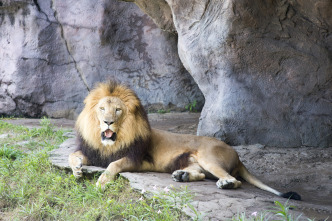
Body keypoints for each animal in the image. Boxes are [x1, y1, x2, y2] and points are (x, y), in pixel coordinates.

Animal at [69, 80, 300, 200]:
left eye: (117, 110)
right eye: (101, 109)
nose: (107, 122)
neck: (111, 142)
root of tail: (238, 155)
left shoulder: (134, 159)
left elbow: (113, 165)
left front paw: (101, 182)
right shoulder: (93, 152)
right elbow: (73, 155)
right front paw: (77, 171)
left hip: (209, 157)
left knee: (234, 180)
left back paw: (224, 183)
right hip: (193, 162)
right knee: (201, 174)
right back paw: (182, 176)